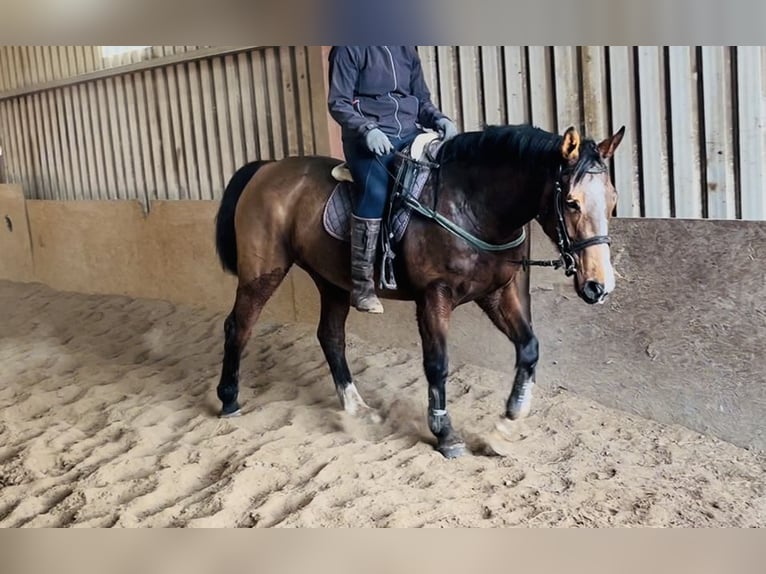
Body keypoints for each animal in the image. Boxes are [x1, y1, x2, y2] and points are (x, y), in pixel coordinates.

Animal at [213, 123, 626, 458]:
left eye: (613, 200)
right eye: (571, 203)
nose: (599, 286)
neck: (472, 205)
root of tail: (267, 167)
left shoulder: (499, 292)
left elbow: (529, 349)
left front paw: (506, 427)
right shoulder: (434, 295)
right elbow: (437, 363)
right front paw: (446, 435)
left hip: (332, 281)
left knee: (330, 336)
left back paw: (357, 408)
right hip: (263, 272)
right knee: (238, 326)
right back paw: (229, 400)